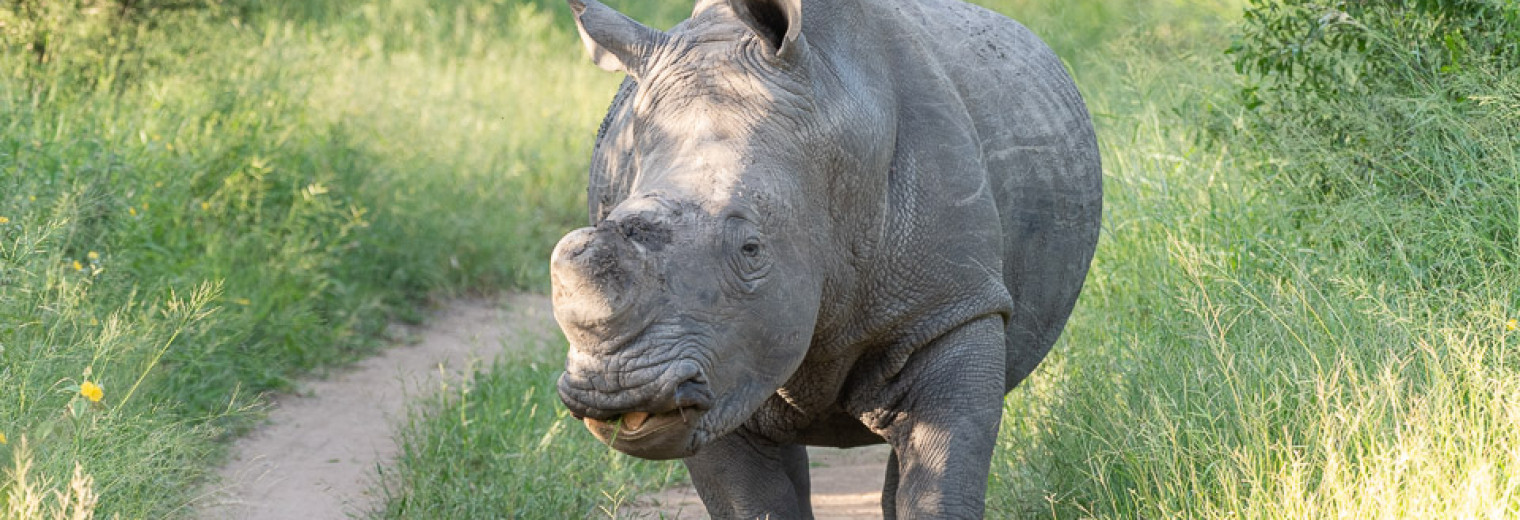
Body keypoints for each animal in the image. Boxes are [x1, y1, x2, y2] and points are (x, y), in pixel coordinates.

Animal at [553, 0, 1100, 513]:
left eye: (751, 249)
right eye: (607, 216)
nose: (615, 388)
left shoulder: (954, 307)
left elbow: (941, 479)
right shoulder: (722, 360)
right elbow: (751, 501)